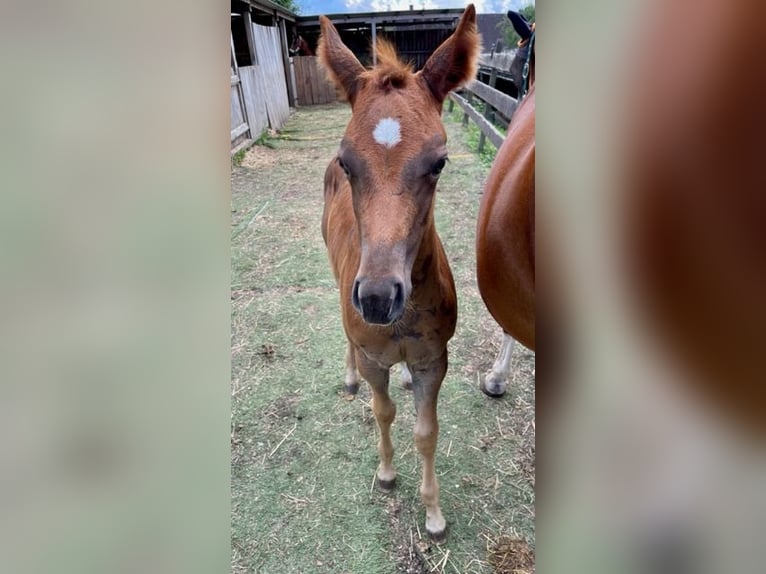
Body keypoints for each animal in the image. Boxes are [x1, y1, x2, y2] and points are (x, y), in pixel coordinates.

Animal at [320, 6, 480, 544]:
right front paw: (388, 474)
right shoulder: (374, 357)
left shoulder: (434, 360)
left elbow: (426, 431)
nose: (376, 298)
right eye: (347, 162)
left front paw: (433, 515)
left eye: (440, 162)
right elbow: (382, 411)